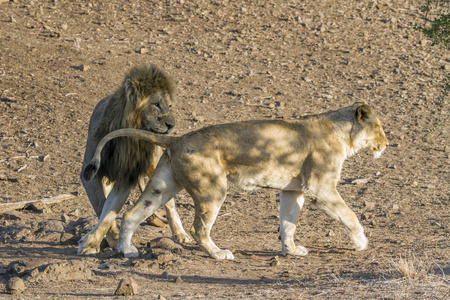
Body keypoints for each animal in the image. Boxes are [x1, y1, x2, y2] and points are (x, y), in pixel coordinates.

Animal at [78, 65, 191, 255]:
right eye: (156, 104)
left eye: (169, 106)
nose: (172, 125)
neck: (128, 141)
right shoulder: (90, 174)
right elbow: (102, 206)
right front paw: (104, 240)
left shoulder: (125, 177)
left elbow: (109, 213)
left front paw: (95, 242)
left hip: (156, 165)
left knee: (170, 204)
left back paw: (180, 233)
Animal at [82, 99, 388, 258]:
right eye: (379, 127)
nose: (386, 144)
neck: (342, 133)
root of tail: (177, 138)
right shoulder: (320, 187)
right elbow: (349, 215)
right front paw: (361, 242)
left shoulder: (293, 190)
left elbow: (288, 223)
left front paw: (290, 250)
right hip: (213, 189)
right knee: (198, 228)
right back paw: (218, 253)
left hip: (162, 186)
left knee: (132, 214)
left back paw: (127, 250)